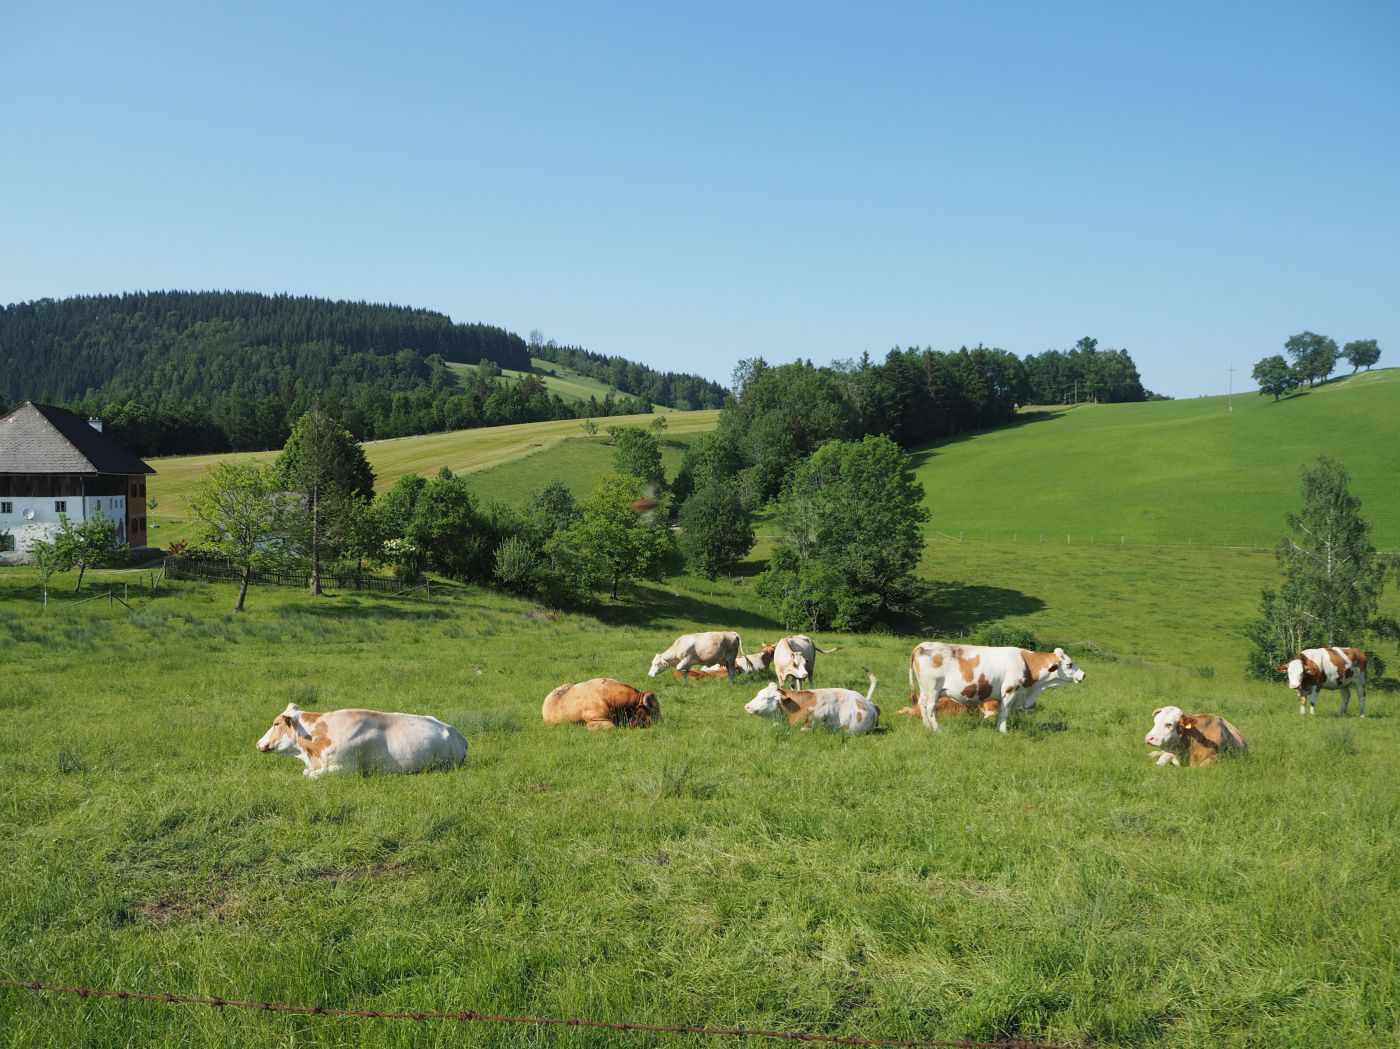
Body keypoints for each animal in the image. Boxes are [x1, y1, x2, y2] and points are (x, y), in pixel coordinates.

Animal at [255, 704, 467, 778]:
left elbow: (311, 776)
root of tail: (457, 733)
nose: (258, 742)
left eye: (276, 723)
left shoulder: (347, 767)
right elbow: (307, 772)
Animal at [909, 641, 1085, 733]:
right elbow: (1005, 713)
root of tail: (922, 645)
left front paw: (998, 729)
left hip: (925, 690)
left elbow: (1000, 713)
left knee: (921, 705)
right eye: (1069, 664)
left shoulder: (1002, 696)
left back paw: (927, 727)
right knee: (930, 708)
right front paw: (1004, 731)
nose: (1083, 674)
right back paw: (937, 729)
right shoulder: (1009, 691)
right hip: (933, 689)